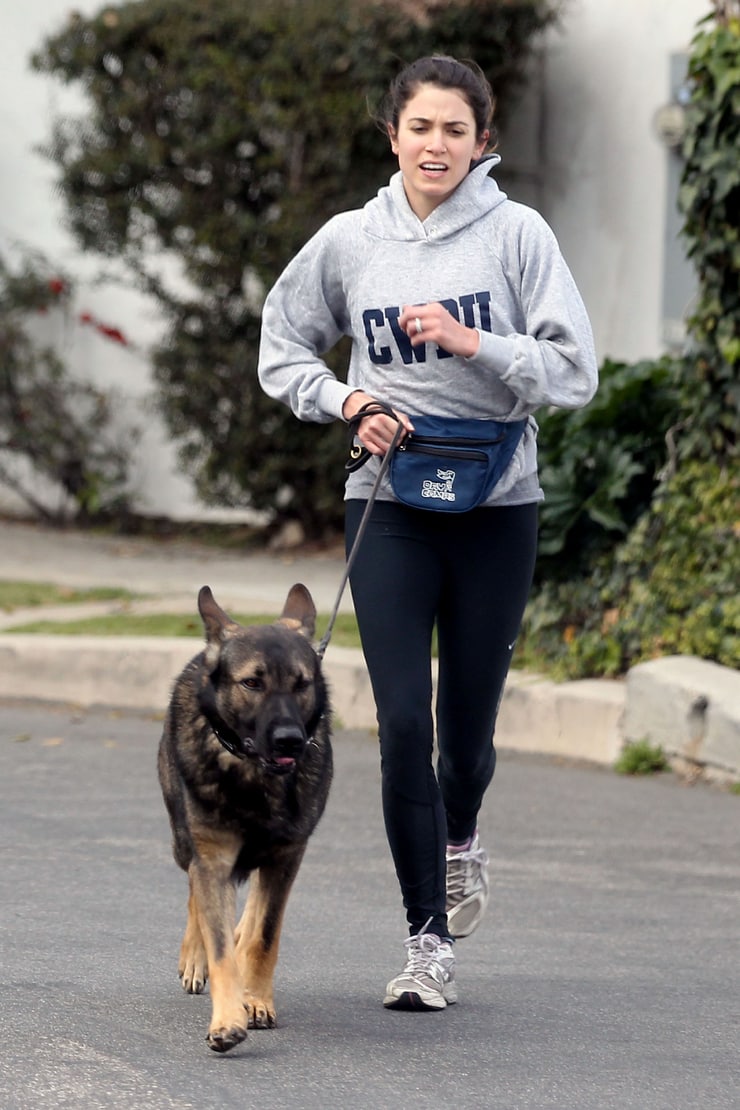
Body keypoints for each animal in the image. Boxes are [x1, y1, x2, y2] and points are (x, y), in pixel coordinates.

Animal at [159, 586, 332, 1052]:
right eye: (252, 683)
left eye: (301, 684)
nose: (290, 740)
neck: (255, 775)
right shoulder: (212, 857)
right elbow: (218, 946)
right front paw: (227, 1019)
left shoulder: (288, 854)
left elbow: (264, 937)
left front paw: (254, 1000)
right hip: (184, 842)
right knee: (193, 891)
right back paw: (195, 956)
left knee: (253, 907)